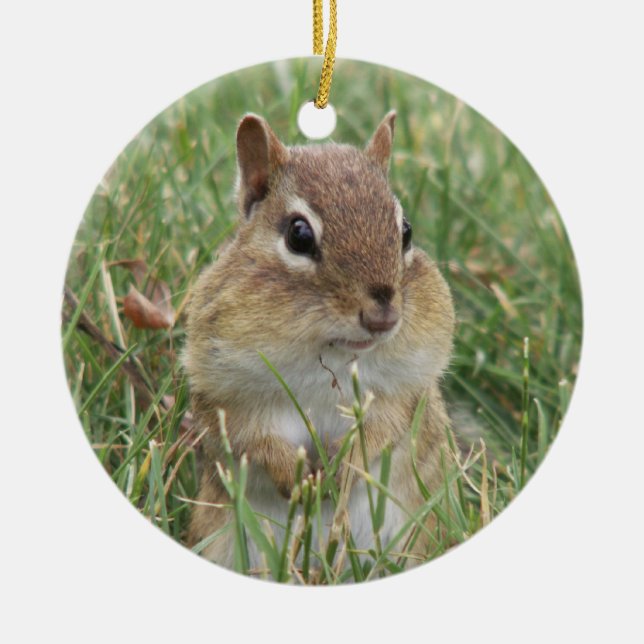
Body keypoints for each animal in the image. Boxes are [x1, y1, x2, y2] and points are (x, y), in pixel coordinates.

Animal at [183, 111, 455, 572]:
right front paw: (298, 480)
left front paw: (344, 472)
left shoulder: (399, 392)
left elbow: (382, 430)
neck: (330, 350)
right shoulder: (231, 394)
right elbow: (253, 439)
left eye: (405, 231)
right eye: (299, 236)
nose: (382, 315)